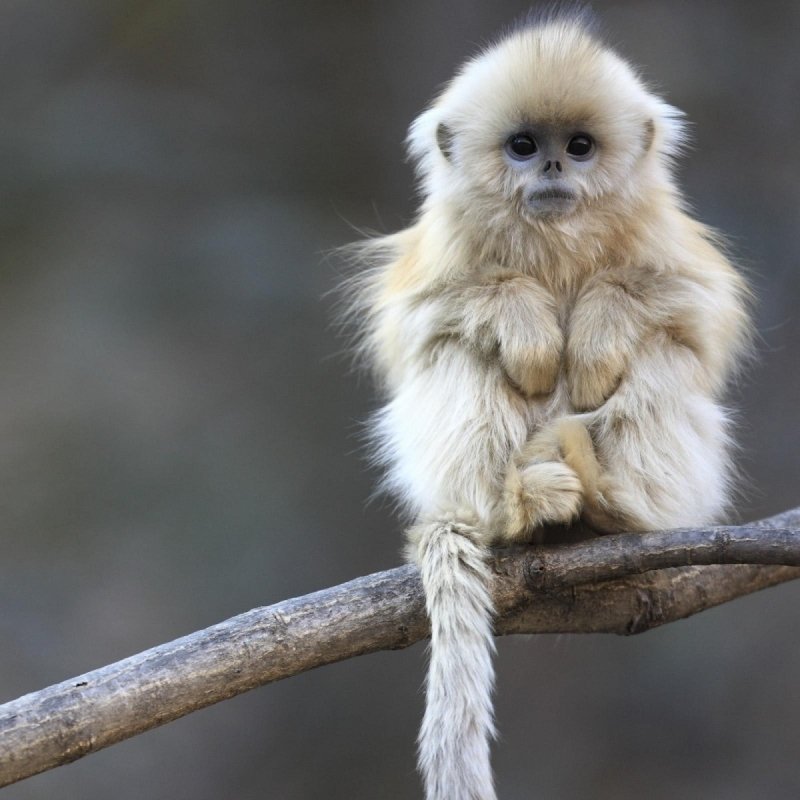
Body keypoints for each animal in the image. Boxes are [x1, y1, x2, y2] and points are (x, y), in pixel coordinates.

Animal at [342, 9, 751, 800]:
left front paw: (594, 333)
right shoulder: (441, 253)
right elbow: (420, 323)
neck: (556, 240)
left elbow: (695, 313)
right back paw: (518, 507)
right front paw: (528, 324)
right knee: (459, 352)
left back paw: (610, 500)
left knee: (662, 355)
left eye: (580, 147)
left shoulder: (667, 240)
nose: (555, 169)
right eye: (524, 146)